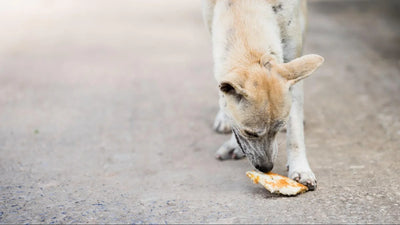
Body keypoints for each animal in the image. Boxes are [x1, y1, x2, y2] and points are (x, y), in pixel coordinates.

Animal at [203, 0, 324, 190]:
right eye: (250, 133)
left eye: (276, 129)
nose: (267, 168)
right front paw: (232, 141)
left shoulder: (290, 56)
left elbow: (295, 129)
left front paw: (300, 169)